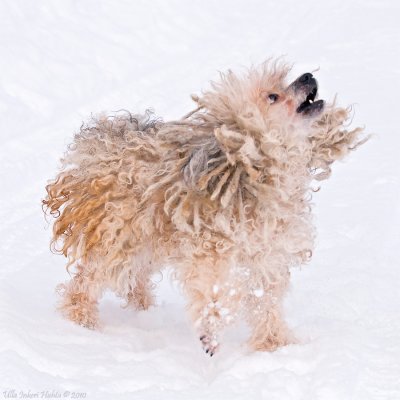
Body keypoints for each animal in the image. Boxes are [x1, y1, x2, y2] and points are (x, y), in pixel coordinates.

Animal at [43, 58, 366, 354]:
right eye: (272, 96)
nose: (308, 75)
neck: (251, 172)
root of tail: (101, 138)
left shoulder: (267, 254)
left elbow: (266, 300)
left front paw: (273, 344)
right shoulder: (208, 249)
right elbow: (212, 290)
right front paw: (212, 328)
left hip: (145, 238)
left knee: (135, 279)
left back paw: (144, 308)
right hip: (118, 235)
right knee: (88, 280)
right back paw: (81, 320)